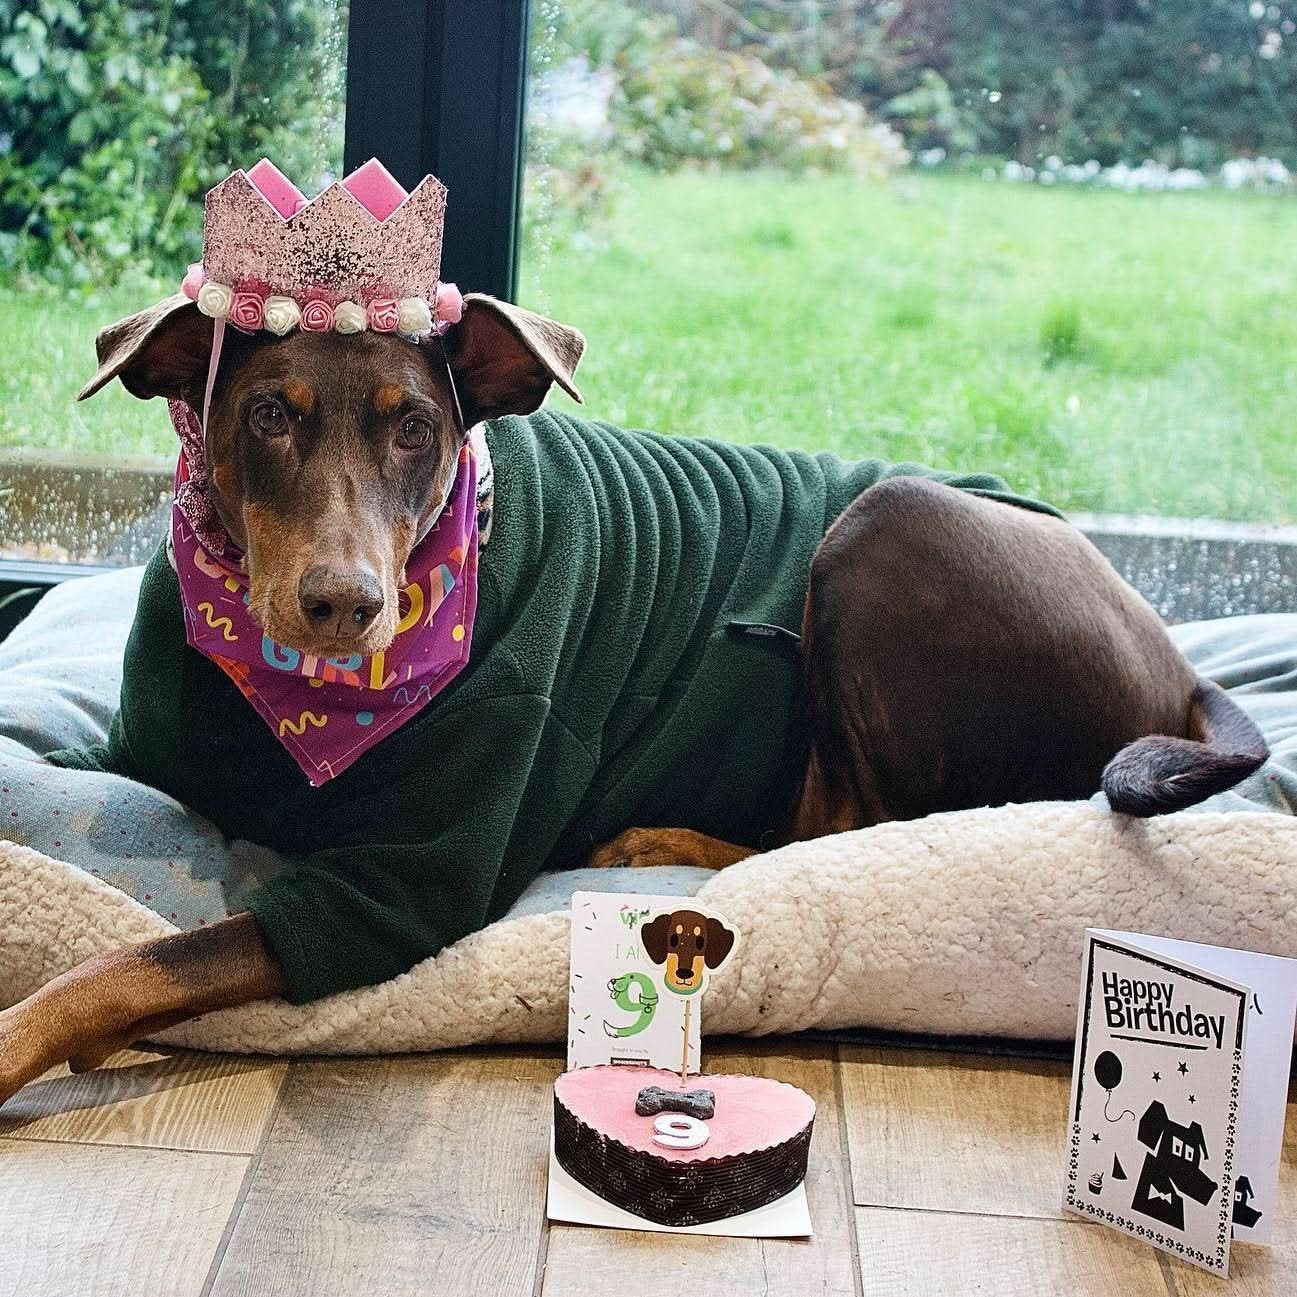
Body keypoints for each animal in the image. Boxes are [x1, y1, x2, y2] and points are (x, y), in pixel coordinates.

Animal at [0, 291, 1265, 1105]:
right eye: (267, 413)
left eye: (417, 428)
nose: (342, 604)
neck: (295, 708)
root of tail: (1181, 665)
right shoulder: (133, 752)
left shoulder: (394, 891)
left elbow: (127, 963)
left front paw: (23, 1039)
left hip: (890, 525)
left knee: (855, 828)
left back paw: (658, 841)